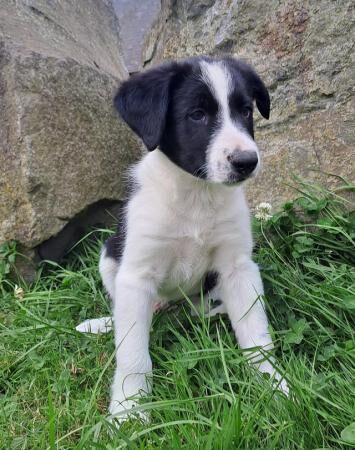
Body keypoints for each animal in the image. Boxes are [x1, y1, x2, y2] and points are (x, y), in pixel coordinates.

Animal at [77, 56, 290, 422]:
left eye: (245, 111)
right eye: (197, 114)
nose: (247, 162)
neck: (196, 196)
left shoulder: (238, 268)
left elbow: (256, 334)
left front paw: (272, 385)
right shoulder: (136, 276)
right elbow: (132, 354)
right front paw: (128, 410)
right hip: (109, 255)